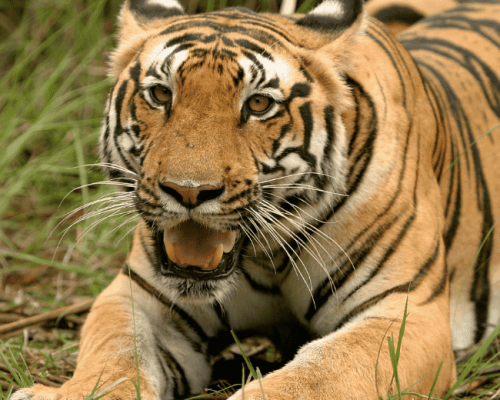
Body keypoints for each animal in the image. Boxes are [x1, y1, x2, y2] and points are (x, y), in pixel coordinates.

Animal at [11, 0, 500, 398]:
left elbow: (320, 374)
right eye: (161, 94)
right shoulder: (139, 296)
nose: (189, 191)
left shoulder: (404, 311)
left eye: (259, 105)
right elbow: (114, 353)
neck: (267, 255)